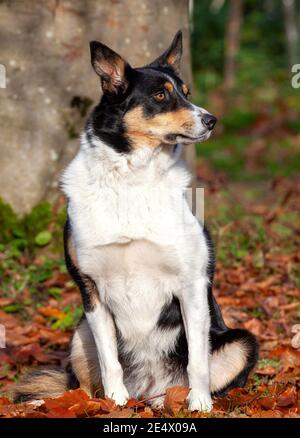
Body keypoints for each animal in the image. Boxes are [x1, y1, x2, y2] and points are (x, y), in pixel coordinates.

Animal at [14, 32, 258, 412]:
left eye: (186, 92)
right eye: (160, 95)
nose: (211, 120)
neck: (131, 180)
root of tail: (148, 391)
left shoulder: (191, 284)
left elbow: (198, 361)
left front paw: (200, 404)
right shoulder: (91, 289)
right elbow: (109, 360)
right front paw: (115, 401)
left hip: (242, 342)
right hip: (80, 333)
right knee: (84, 386)